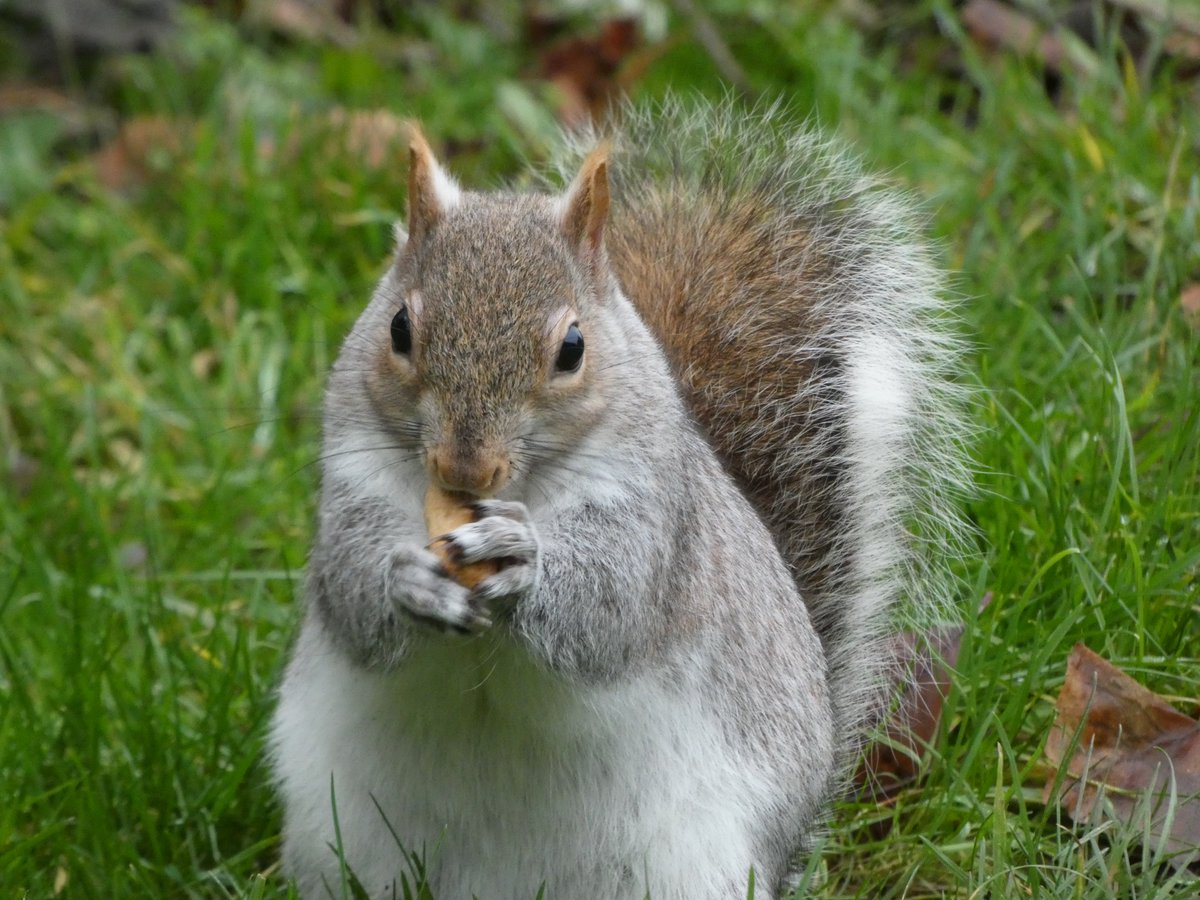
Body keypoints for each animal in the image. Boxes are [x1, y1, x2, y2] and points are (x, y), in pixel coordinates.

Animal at [269, 98, 970, 899]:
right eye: (399, 329)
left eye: (573, 348)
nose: (465, 468)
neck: (522, 490)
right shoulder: (350, 485)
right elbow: (349, 594)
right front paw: (406, 580)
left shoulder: (655, 518)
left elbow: (607, 610)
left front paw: (522, 559)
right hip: (343, 842)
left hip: (688, 865)